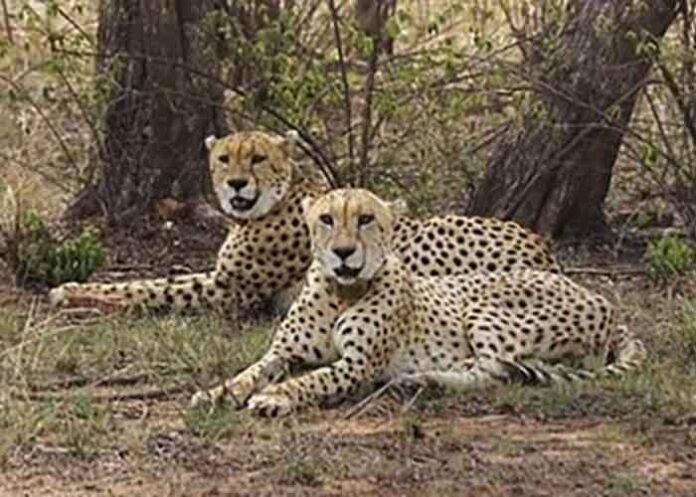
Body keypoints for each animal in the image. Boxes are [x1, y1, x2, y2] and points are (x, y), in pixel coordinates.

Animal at [49, 130, 560, 316]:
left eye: (257, 158)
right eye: (224, 158)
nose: (236, 184)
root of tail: (542, 247)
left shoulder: (230, 292)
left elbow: (150, 289)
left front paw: (76, 293)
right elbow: (152, 280)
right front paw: (78, 287)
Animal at [190, 188, 645, 417]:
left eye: (366, 219)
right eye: (326, 219)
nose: (343, 253)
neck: (340, 291)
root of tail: (606, 304)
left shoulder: (357, 365)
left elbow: (311, 379)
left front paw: (275, 397)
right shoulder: (283, 352)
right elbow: (249, 372)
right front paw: (216, 393)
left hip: (483, 307)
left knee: (495, 370)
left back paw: (424, 378)